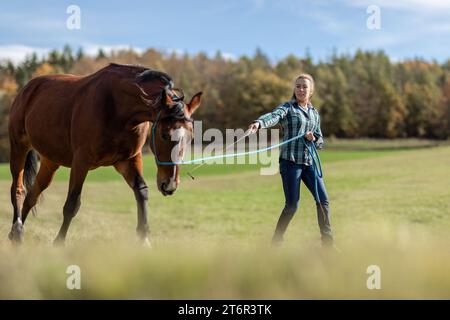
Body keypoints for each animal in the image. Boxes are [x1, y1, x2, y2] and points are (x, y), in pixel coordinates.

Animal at [8, 63, 202, 245]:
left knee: (32, 196)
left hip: (51, 162)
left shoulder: (128, 160)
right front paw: (59, 243)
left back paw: (14, 233)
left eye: (190, 137)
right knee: (17, 189)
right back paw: (17, 231)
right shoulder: (81, 162)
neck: (117, 108)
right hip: (19, 147)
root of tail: (28, 88)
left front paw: (144, 240)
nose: (169, 185)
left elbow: (142, 192)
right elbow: (72, 204)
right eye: (164, 135)